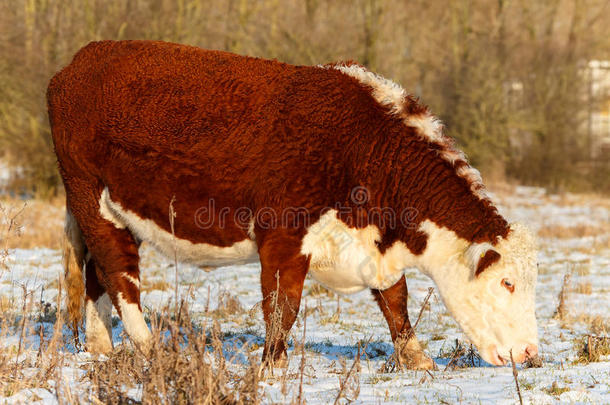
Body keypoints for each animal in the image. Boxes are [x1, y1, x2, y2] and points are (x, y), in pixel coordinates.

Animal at [46, 39, 536, 368]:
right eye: (507, 282)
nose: (531, 352)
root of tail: (80, 60)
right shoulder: (283, 236)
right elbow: (283, 306)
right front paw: (273, 366)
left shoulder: (374, 247)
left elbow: (395, 301)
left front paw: (417, 360)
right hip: (92, 197)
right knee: (119, 273)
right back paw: (151, 350)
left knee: (96, 274)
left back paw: (101, 347)